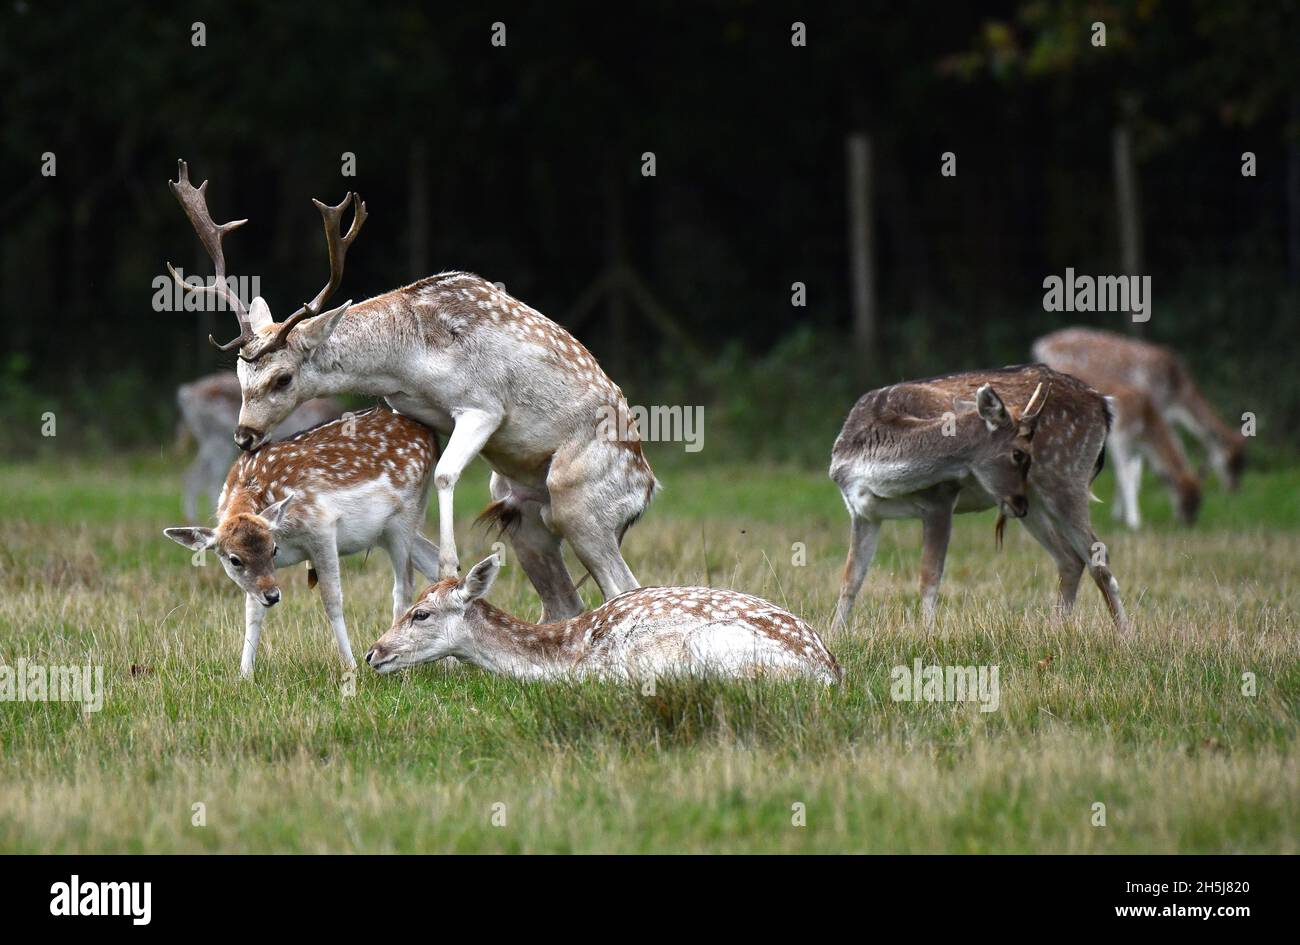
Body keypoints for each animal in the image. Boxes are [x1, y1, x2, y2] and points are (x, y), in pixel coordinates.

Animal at [163, 405, 441, 678]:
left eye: (273, 549)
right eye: (234, 559)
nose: (273, 596)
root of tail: (430, 435)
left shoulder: (322, 528)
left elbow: (332, 600)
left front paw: (350, 665)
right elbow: (252, 611)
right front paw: (245, 674)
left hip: (404, 516)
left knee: (404, 585)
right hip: (385, 531)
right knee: (434, 559)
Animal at [829, 365, 1128, 633]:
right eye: (1019, 454)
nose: (1019, 502)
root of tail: (1103, 404)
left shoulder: (940, 500)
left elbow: (929, 578)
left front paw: (926, 637)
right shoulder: (862, 512)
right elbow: (850, 580)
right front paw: (835, 636)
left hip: (1066, 477)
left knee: (1098, 554)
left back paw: (1124, 637)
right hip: (1034, 502)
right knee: (1070, 559)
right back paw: (1056, 631)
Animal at [1033, 327, 1246, 503]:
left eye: (1242, 463)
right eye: (1232, 462)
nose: (1233, 490)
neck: (1177, 393)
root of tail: (1041, 344)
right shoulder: (1153, 401)